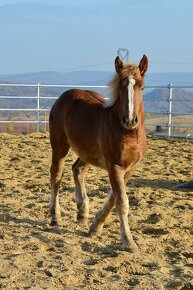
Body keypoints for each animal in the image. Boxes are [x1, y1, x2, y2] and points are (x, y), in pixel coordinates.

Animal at [49, 55, 149, 254]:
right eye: (120, 86)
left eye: (141, 86)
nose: (130, 120)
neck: (129, 133)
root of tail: (63, 97)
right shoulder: (114, 166)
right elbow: (121, 202)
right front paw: (129, 242)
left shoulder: (130, 168)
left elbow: (113, 199)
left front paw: (95, 227)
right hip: (60, 147)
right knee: (56, 176)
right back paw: (55, 217)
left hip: (87, 152)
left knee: (77, 169)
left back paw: (82, 213)